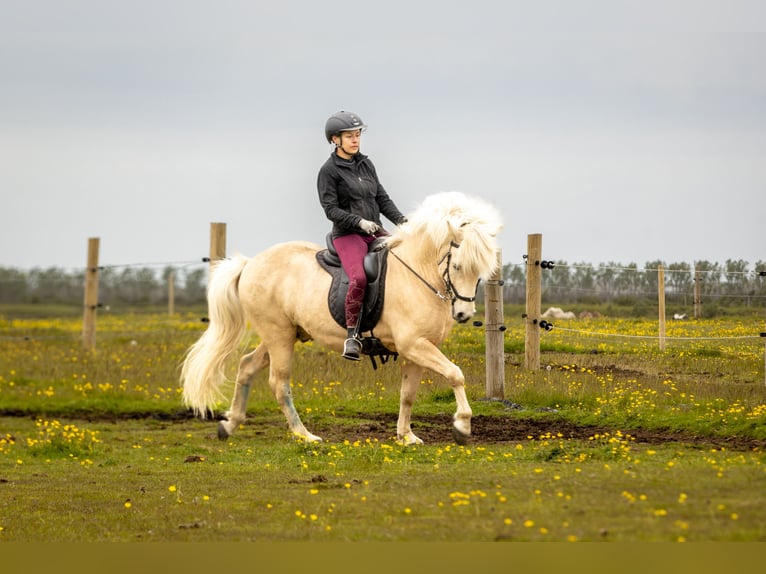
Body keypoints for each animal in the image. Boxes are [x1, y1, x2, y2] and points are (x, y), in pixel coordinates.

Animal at [180, 191, 503, 445]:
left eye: (480, 271)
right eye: (457, 266)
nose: (463, 314)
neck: (418, 273)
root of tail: (250, 263)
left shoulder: (418, 350)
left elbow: (408, 393)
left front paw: (407, 436)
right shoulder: (415, 345)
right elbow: (455, 374)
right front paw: (462, 426)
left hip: (285, 334)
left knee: (247, 366)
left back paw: (229, 424)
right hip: (278, 334)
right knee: (279, 383)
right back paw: (304, 435)